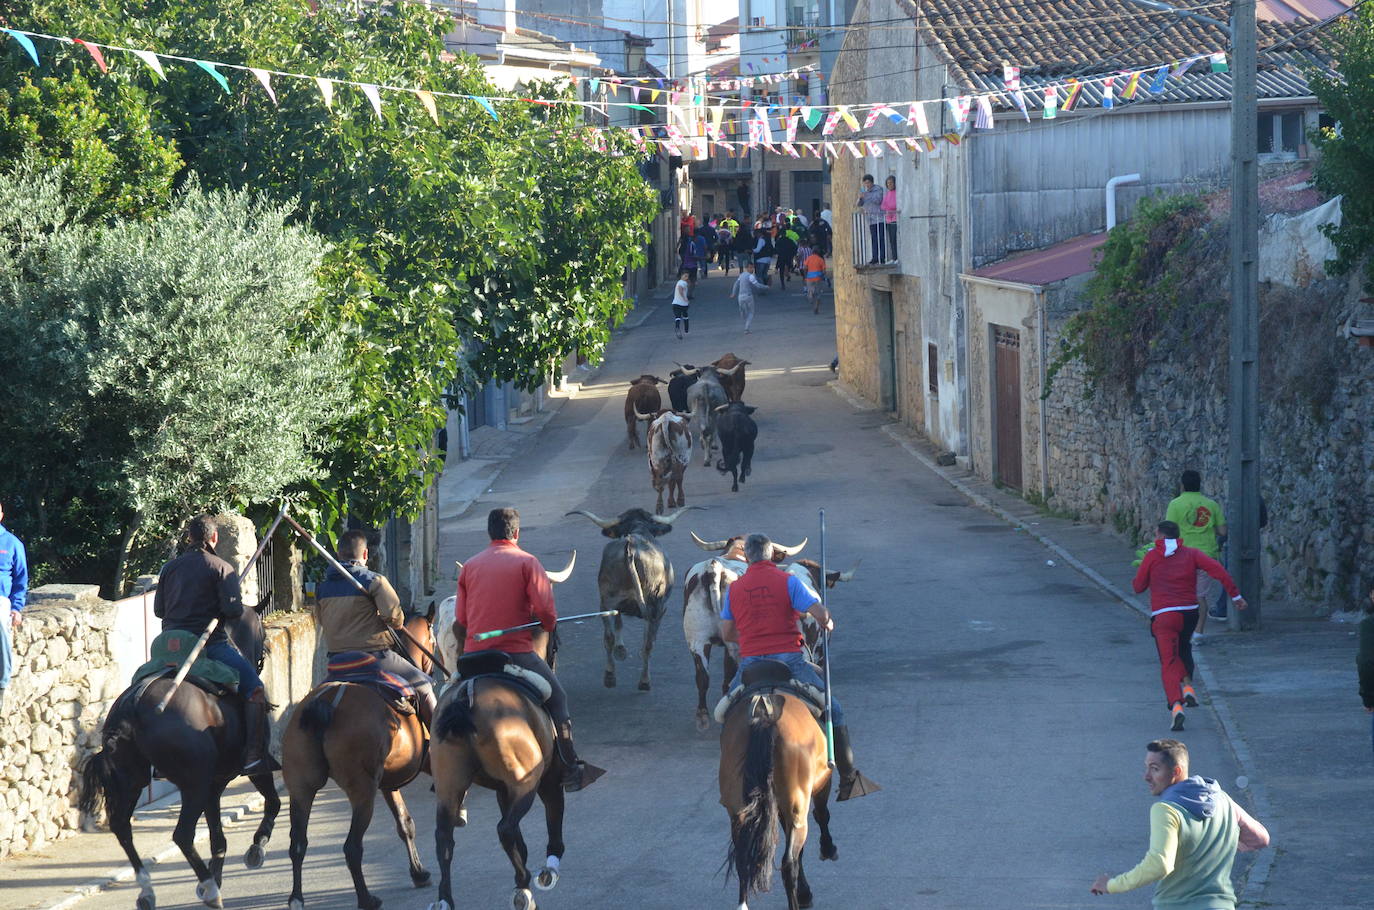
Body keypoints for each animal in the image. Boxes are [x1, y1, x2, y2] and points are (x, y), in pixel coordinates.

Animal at [78, 602, 281, 907]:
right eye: (263, 634)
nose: (263, 653)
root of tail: (133, 705)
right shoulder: (254, 768)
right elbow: (273, 803)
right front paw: (256, 848)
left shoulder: (214, 785)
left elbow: (218, 839)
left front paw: (218, 875)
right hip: (192, 785)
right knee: (182, 835)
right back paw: (209, 889)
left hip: (132, 781)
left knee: (122, 828)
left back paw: (148, 890)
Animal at [284, 604, 439, 910]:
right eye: (434, 640)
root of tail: (326, 703)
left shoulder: (389, 783)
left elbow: (405, 823)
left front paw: (418, 872)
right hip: (362, 791)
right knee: (352, 847)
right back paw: (367, 898)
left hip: (301, 789)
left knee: (298, 844)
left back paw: (296, 898)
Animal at [423, 632, 563, 910]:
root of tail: (465, 697)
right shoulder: (547, 779)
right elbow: (552, 814)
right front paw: (549, 869)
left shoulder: (502, 789)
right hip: (525, 783)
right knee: (505, 829)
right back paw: (522, 883)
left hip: (448, 787)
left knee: (444, 838)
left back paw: (445, 898)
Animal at [566, 505, 697, 692]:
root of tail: (632, 550)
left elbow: (619, 624)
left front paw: (620, 650)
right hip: (655, 606)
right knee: (647, 644)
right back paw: (643, 681)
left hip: (606, 601)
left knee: (609, 637)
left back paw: (611, 676)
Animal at [719, 692, 835, 910]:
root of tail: (765, 716)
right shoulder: (822, 783)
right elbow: (822, 815)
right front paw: (827, 848)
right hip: (797, 809)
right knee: (789, 863)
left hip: (738, 810)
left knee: (742, 858)